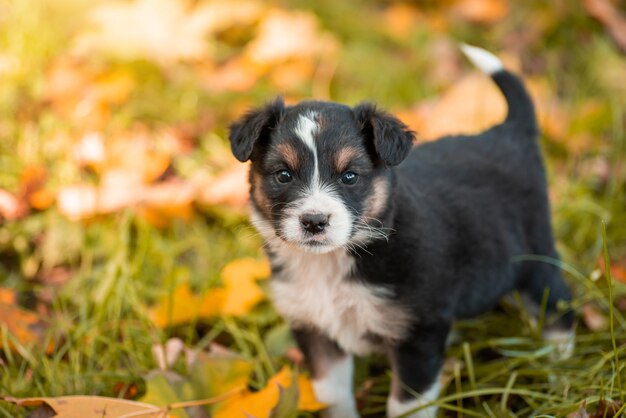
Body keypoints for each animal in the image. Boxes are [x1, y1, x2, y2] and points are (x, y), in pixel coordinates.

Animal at [227, 45, 572, 418]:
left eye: (350, 176)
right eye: (283, 175)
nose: (314, 221)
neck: (332, 264)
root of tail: (509, 131)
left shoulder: (419, 332)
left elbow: (407, 404)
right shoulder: (314, 328)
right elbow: (332, 394)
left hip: (536, 256)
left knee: (559, 306)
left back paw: (558, 367)